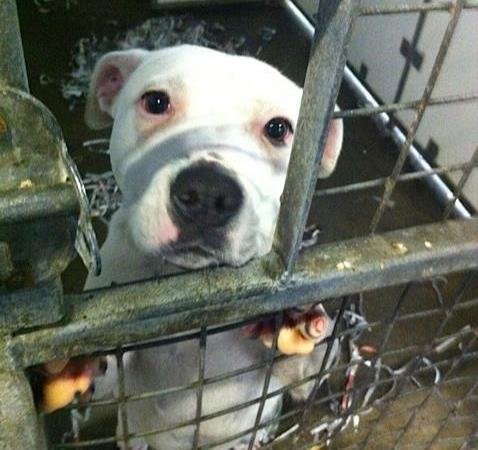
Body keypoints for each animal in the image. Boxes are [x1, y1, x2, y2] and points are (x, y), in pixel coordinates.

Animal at [83, 45, 343, 449]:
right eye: (156, 102)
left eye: (278, 128)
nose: (207, 192)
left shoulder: (297, 378)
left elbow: (306, 367)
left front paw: (298, 320)